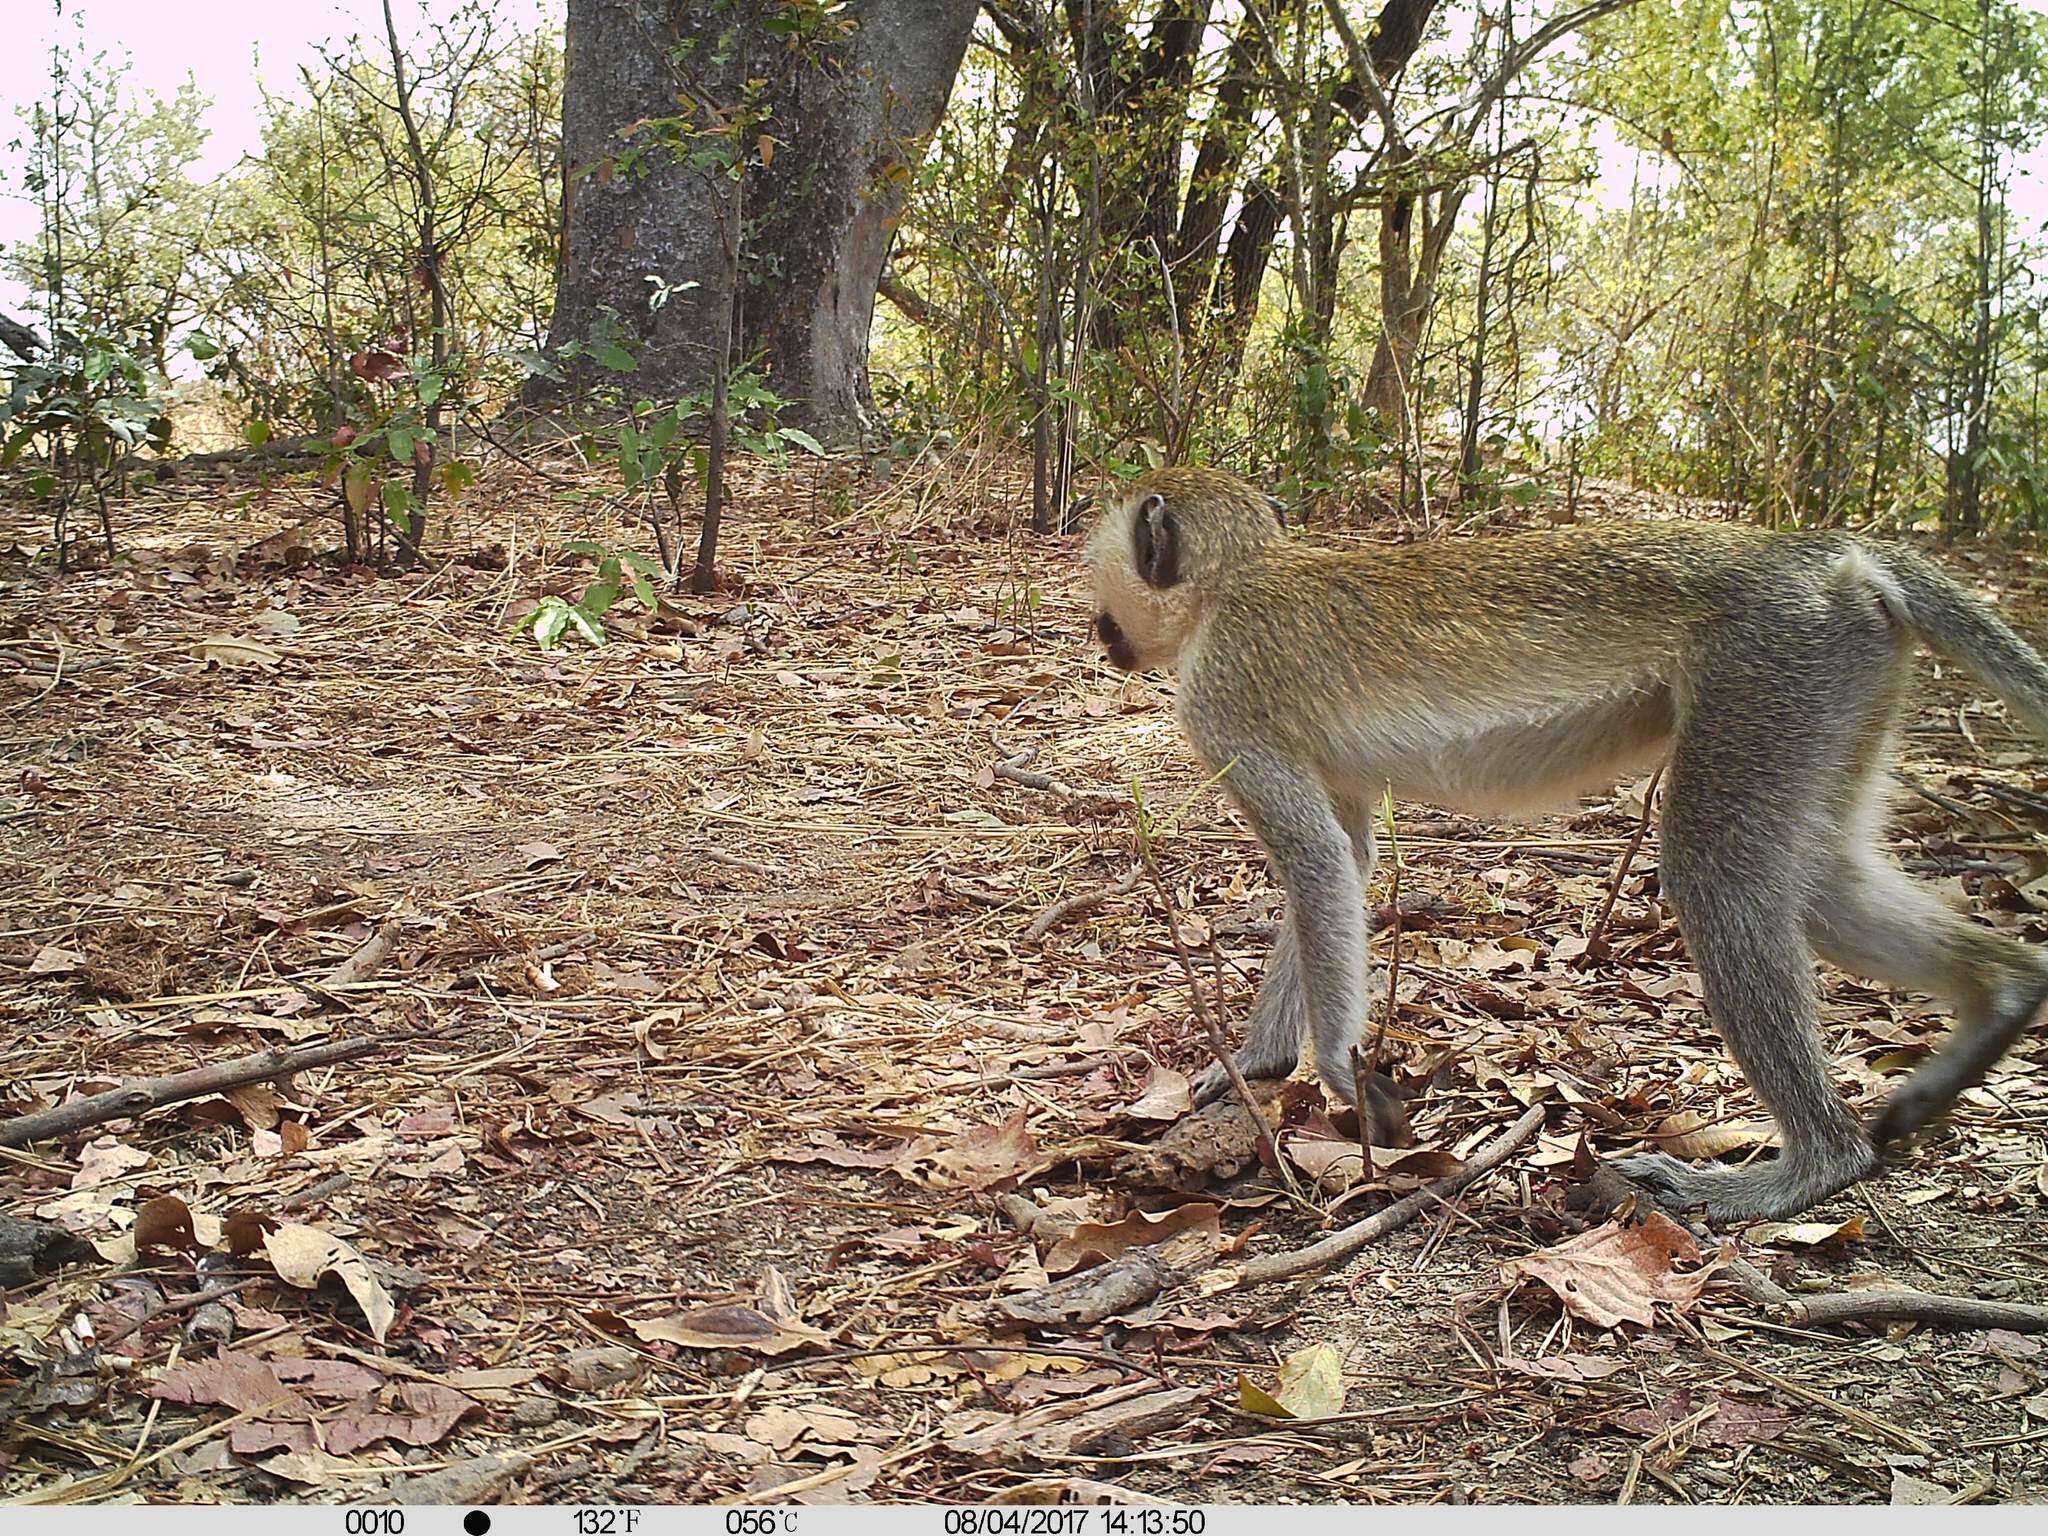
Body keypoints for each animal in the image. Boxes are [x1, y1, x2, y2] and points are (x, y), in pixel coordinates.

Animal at [1089, 466, 2048, 1228]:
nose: (1103, 632)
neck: (1239, 580)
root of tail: (1826, 555)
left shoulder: (1221, 702)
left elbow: (1316, 862)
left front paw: (1339, 1075)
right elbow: (1342, 861)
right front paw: (1257, 1064)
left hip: (1777, 662)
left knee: (1720, 871)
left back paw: (1806, 1168)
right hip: (1840, 677)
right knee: (1824, 881)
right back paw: (2003, 994)